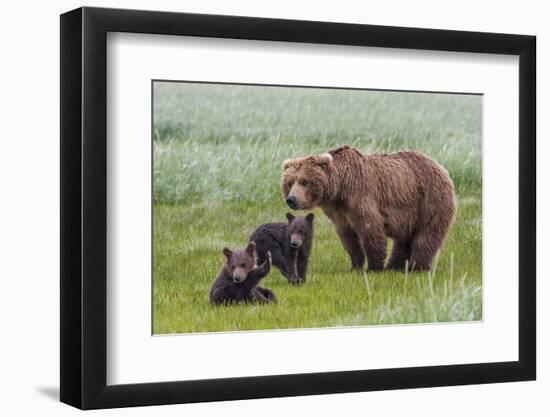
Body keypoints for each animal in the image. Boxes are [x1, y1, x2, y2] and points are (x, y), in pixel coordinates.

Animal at [280, 145, 458, 272]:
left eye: (304, 181)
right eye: (289, 183)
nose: (291, 199)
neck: (339, 189)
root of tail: (442, 168)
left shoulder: (360, 196)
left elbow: (370, 229)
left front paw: (374, 267)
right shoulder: (338, 213)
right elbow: (349, 238)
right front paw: (355, 265)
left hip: (430, 201)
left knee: (427, 236)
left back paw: (417, 267)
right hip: (410, 213)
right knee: (404, 239)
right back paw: (395, 266)